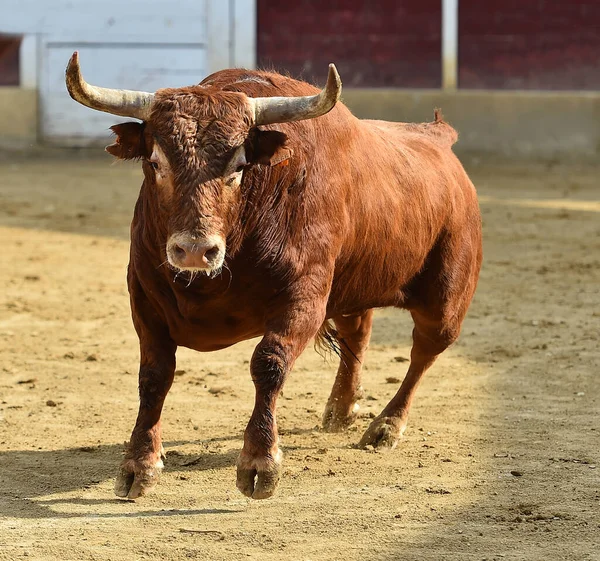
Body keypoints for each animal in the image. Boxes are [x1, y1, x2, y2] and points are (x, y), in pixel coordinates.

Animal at [65, 51, 482, 498]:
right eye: (155, 162)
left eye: (238, 166)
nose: (194, 250)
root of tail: (436, 137)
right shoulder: (145, 298)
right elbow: (155, 375)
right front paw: (138, 464)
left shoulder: (304, 299)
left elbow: (269, 364)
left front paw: (259, 462)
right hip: (351, 287)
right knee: (357, 332)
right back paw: (340, 410)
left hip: (446, 298)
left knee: (424, 351)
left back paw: (386, 426)